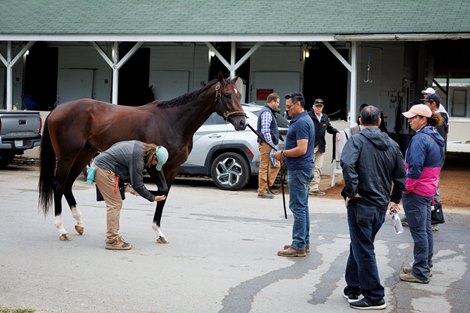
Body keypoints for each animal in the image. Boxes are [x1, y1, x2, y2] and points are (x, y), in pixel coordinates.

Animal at [39, 73, 246, 241]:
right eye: (227, 95)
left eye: (239, 95)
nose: (242, 122)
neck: (173, 121)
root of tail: (56, 110)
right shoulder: (154, 165)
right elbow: (160, 190)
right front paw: (132, 190)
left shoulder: (172, 168)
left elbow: (165, 193)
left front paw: (159, 232)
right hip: (67, 157)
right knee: (58, 185)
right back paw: (62, 230)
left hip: (84, 155)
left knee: (67, 185)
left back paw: (79, 224)